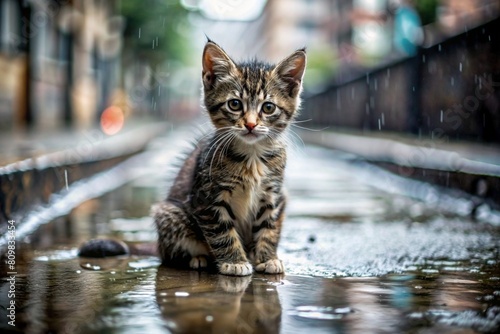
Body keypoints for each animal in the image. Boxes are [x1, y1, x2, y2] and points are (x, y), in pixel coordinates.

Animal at [152, 41, 306, 276]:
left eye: (268, 107)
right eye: (234, 104)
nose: (250, 124)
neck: (252, 156)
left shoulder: (273, 194)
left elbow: (269, 227)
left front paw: (267, 258)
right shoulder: (207, 199)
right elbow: (222, 232)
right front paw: (235, 262)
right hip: (168, 213)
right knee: (170, 254)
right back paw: (198, 258)